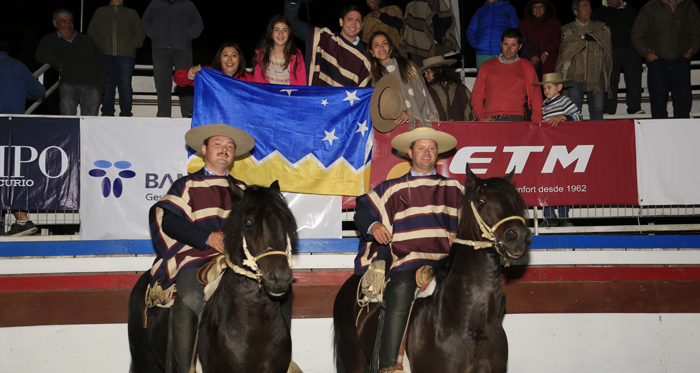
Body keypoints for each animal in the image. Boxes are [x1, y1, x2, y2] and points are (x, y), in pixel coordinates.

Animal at [334, 166, 532, 372]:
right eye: (481, 201)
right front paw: (378, 229)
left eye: (515, 199)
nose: (517, 236)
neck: (473, 324)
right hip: (351, 357)